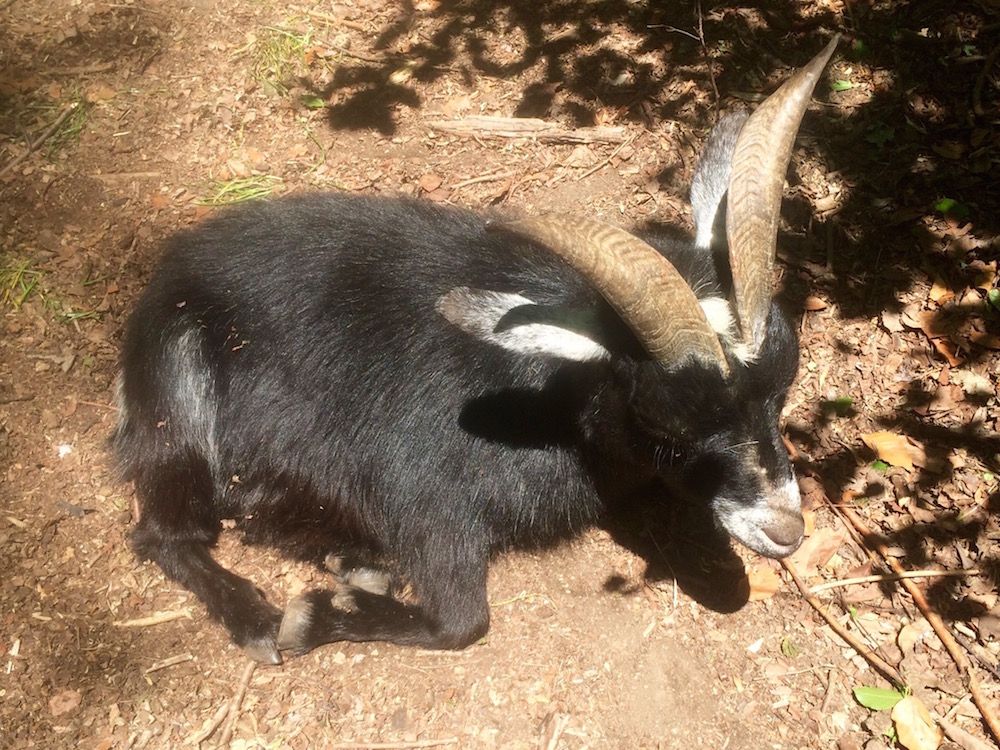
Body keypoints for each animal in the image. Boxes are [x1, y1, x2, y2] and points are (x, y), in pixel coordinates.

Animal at [113, 38, 840, 668]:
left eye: (783, 386)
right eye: (664, 422)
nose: (785, 530)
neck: (541, 399)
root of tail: (171, 271)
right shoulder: (423, 497)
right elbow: (462, 622)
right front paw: (312, 616)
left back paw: (348, 557)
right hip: (175, 396)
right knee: (165, 533)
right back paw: (260, 617)